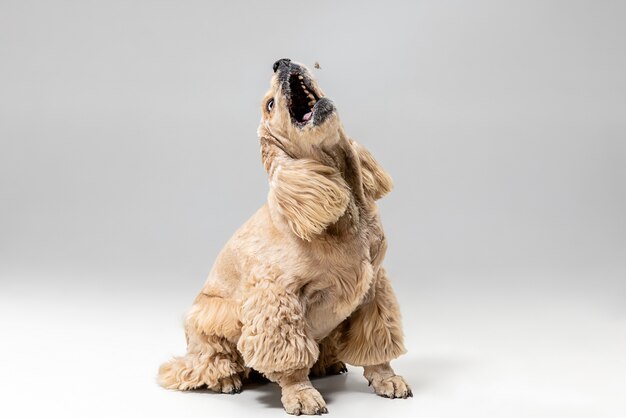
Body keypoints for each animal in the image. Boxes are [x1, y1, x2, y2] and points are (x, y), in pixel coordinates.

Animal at [158, 58, 410, 414]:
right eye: (270, 104)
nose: (282, 62)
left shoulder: (374, 287)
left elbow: (377, 340)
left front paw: (387, 378)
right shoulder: (278, 296)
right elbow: (289, 356)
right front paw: (300, 394)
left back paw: (327, 363)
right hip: (211, 316)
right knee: (200, 362)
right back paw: (226, 378)